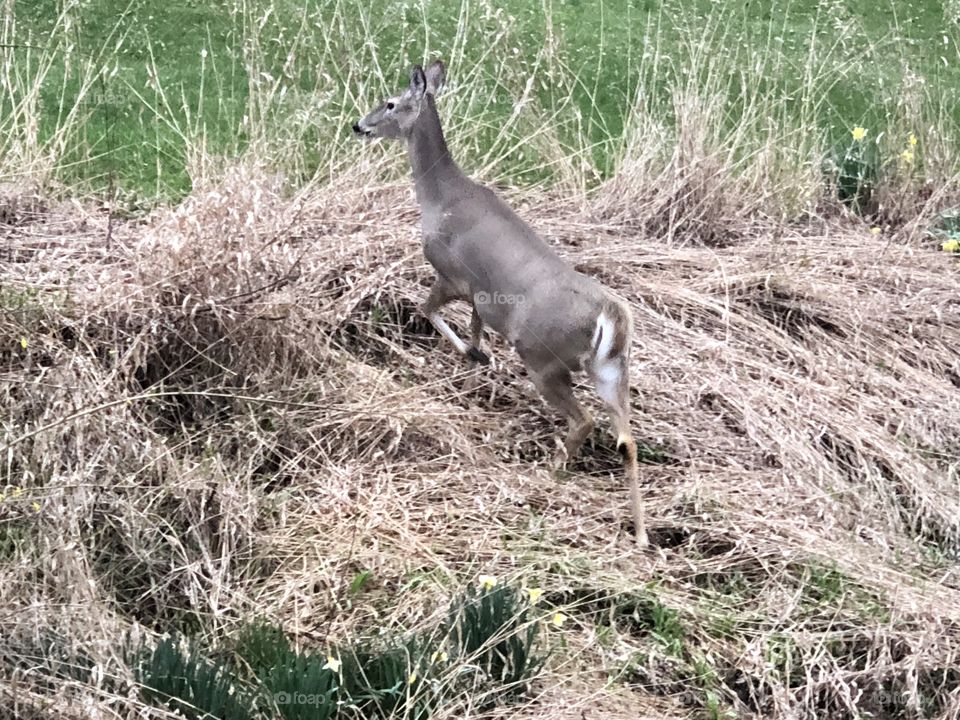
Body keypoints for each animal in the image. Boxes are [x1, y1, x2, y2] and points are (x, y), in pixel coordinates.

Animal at [353, 60, 648, 547]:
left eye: (390, 102)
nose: (359, 125)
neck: (439, 195)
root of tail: (611, 318)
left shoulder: (451, 273)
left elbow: (430, 311)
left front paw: (472, 353)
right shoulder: (481, 295)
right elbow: (475, 322)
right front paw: (477, 353)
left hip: (543, 357)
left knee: (584, 421)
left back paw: (553, 472)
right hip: (611, 370)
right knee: (627, 439)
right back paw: (641, 534)